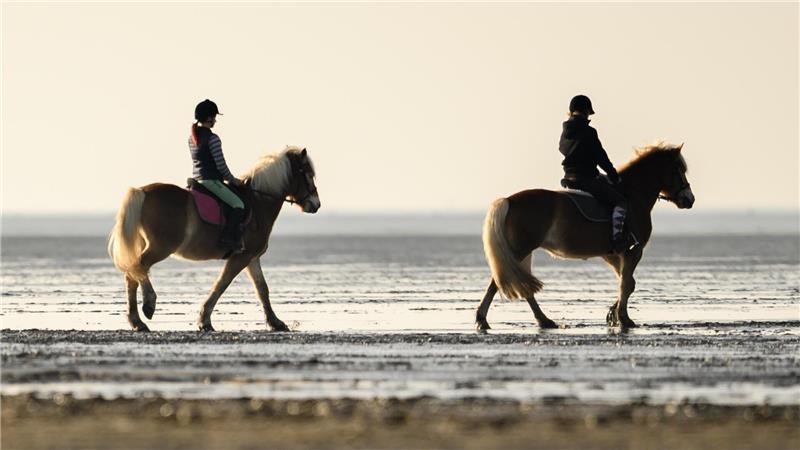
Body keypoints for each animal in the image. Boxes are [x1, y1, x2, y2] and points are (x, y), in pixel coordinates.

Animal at [108, 146, 320, 332]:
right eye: (308, 174)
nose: (316, 204)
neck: (259, 201)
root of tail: (142, 191)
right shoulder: (241, 257)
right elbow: (222, 283)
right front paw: (204, 321)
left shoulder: (252, 257)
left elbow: (262, 289)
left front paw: (276, 323)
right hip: (160, 247)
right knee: (136, 269)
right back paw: (148, 305)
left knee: (134, 273)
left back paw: (137, 322)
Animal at [476, 142, 692, 332]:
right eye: (679, 169)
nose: (689, 199)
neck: (632, 194)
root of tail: (509, 200)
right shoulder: (634, 250)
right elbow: (627, 283)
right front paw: (623, 318)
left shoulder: (614, 254)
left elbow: (626, 281)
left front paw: (613, 314)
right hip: (520, 250)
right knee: (497, 283)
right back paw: (483, 320)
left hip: (524, 251)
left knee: (522, 285)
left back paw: (544, 321)